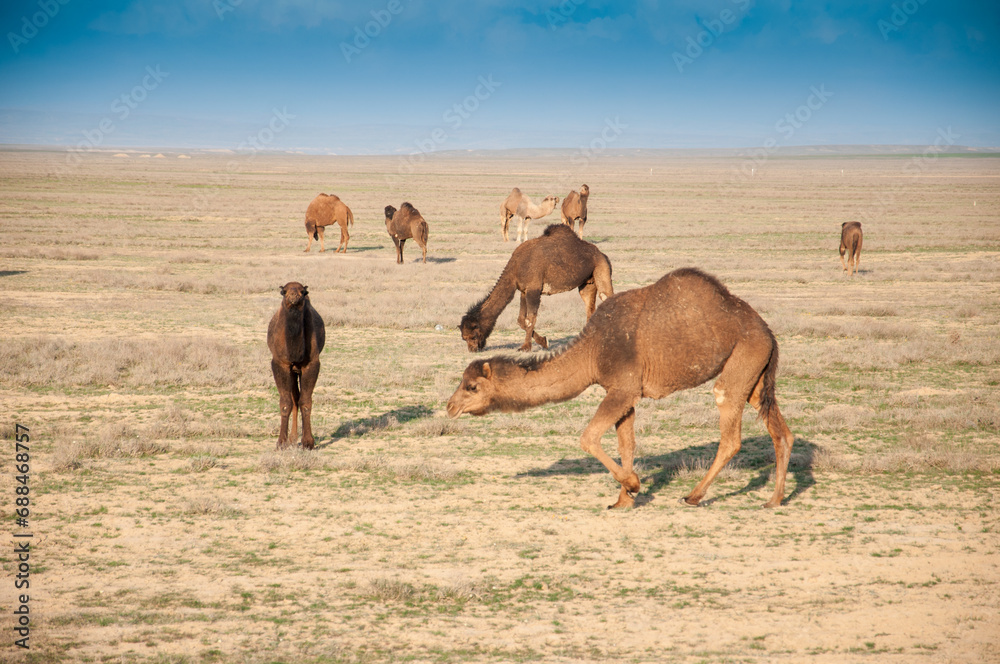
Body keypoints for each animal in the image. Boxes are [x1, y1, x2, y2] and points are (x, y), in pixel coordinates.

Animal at [267, 282, 326, 450]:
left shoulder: (311, 364)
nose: (294, 296)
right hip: (292, 371)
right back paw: (292, 439)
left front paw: (308, 442)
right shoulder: (280, 364)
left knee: (297, 399)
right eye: (284, 291)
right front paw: (281, 442)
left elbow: (305, 402)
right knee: (293, 399)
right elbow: (286, 403)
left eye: (303, 291)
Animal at [448, 268, 795, 510]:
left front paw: (634, 485)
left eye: (472, 386)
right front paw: (623, 499)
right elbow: (626, 444)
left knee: (730, 432)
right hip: (756, 374)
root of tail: (768, 332)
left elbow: (588, 438)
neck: (592, 351)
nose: (450, 406)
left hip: (742, 360)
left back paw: (693, 496)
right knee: (781, 431)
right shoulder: (624, 392)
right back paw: (774, 499)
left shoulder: (623, 389)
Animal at [460, 224, 613, 353]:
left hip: (602, 270)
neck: (515, 268)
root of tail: (602, 254)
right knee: (590, 308)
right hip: (587, 283)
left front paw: (525, 347)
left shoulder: (534, 289)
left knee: (606, 297)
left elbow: (531, 318)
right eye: (464, 337)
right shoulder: (523, 290)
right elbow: (521, 319)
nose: (473, 349)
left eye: (472, 336)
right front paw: (544, 341)